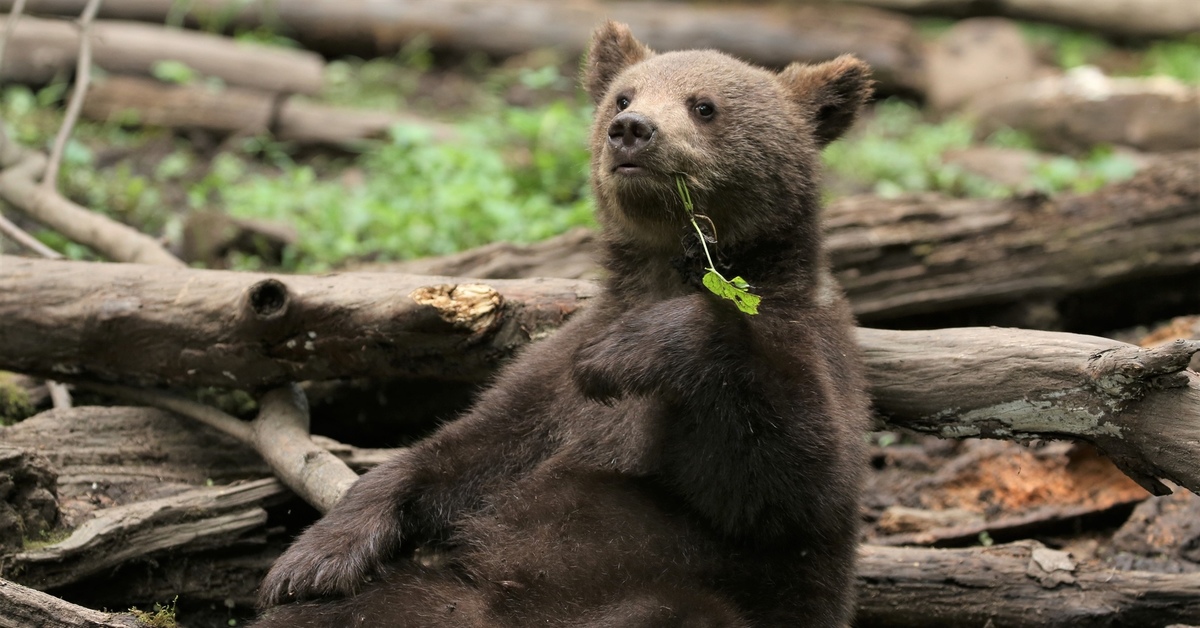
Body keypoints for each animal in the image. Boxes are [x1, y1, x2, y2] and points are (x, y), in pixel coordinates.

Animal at [253, 20, 873, 628]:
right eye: (623, 95)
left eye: (704, 105)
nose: (631, 130)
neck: (664, 272)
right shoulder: (549, 383)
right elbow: (463, 450)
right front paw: (312, 558)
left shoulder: (811, 347)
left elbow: (791, 479)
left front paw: (626, 354)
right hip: (436, 600)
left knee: (677, 611)